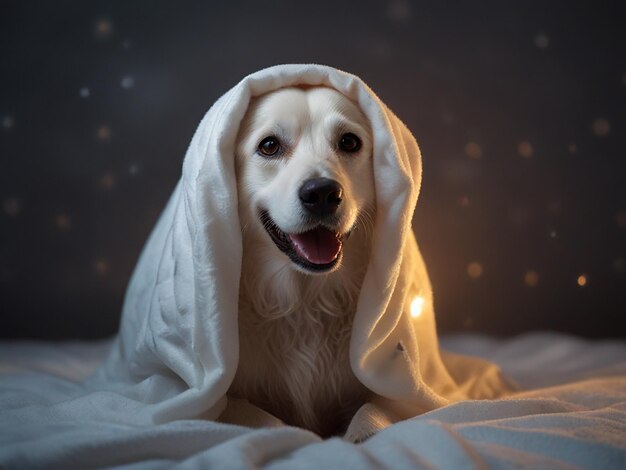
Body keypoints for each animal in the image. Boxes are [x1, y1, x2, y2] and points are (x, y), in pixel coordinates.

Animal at [228, 85, 376, 436]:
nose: (322, 193)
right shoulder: (230, 400)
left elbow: (371, 413)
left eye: (349, 142)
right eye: (269, 146)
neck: (304, 302)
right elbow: (264, 420)